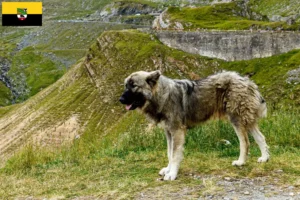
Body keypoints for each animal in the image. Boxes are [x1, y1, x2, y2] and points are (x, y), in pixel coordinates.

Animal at [119, 70, 270, 181]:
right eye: (126, 86)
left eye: (134, 85)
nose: (120, 99)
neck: (162, 95)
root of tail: (247, 81)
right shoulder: (169, 132)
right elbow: (169, 153)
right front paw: (168, 169)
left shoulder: (177, 131)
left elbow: (175, 155)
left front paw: (172, 174)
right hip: (247, 120)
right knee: (260, 137)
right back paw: (265, 158)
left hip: (236, 119)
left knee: (245, 142)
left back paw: (241, 162)